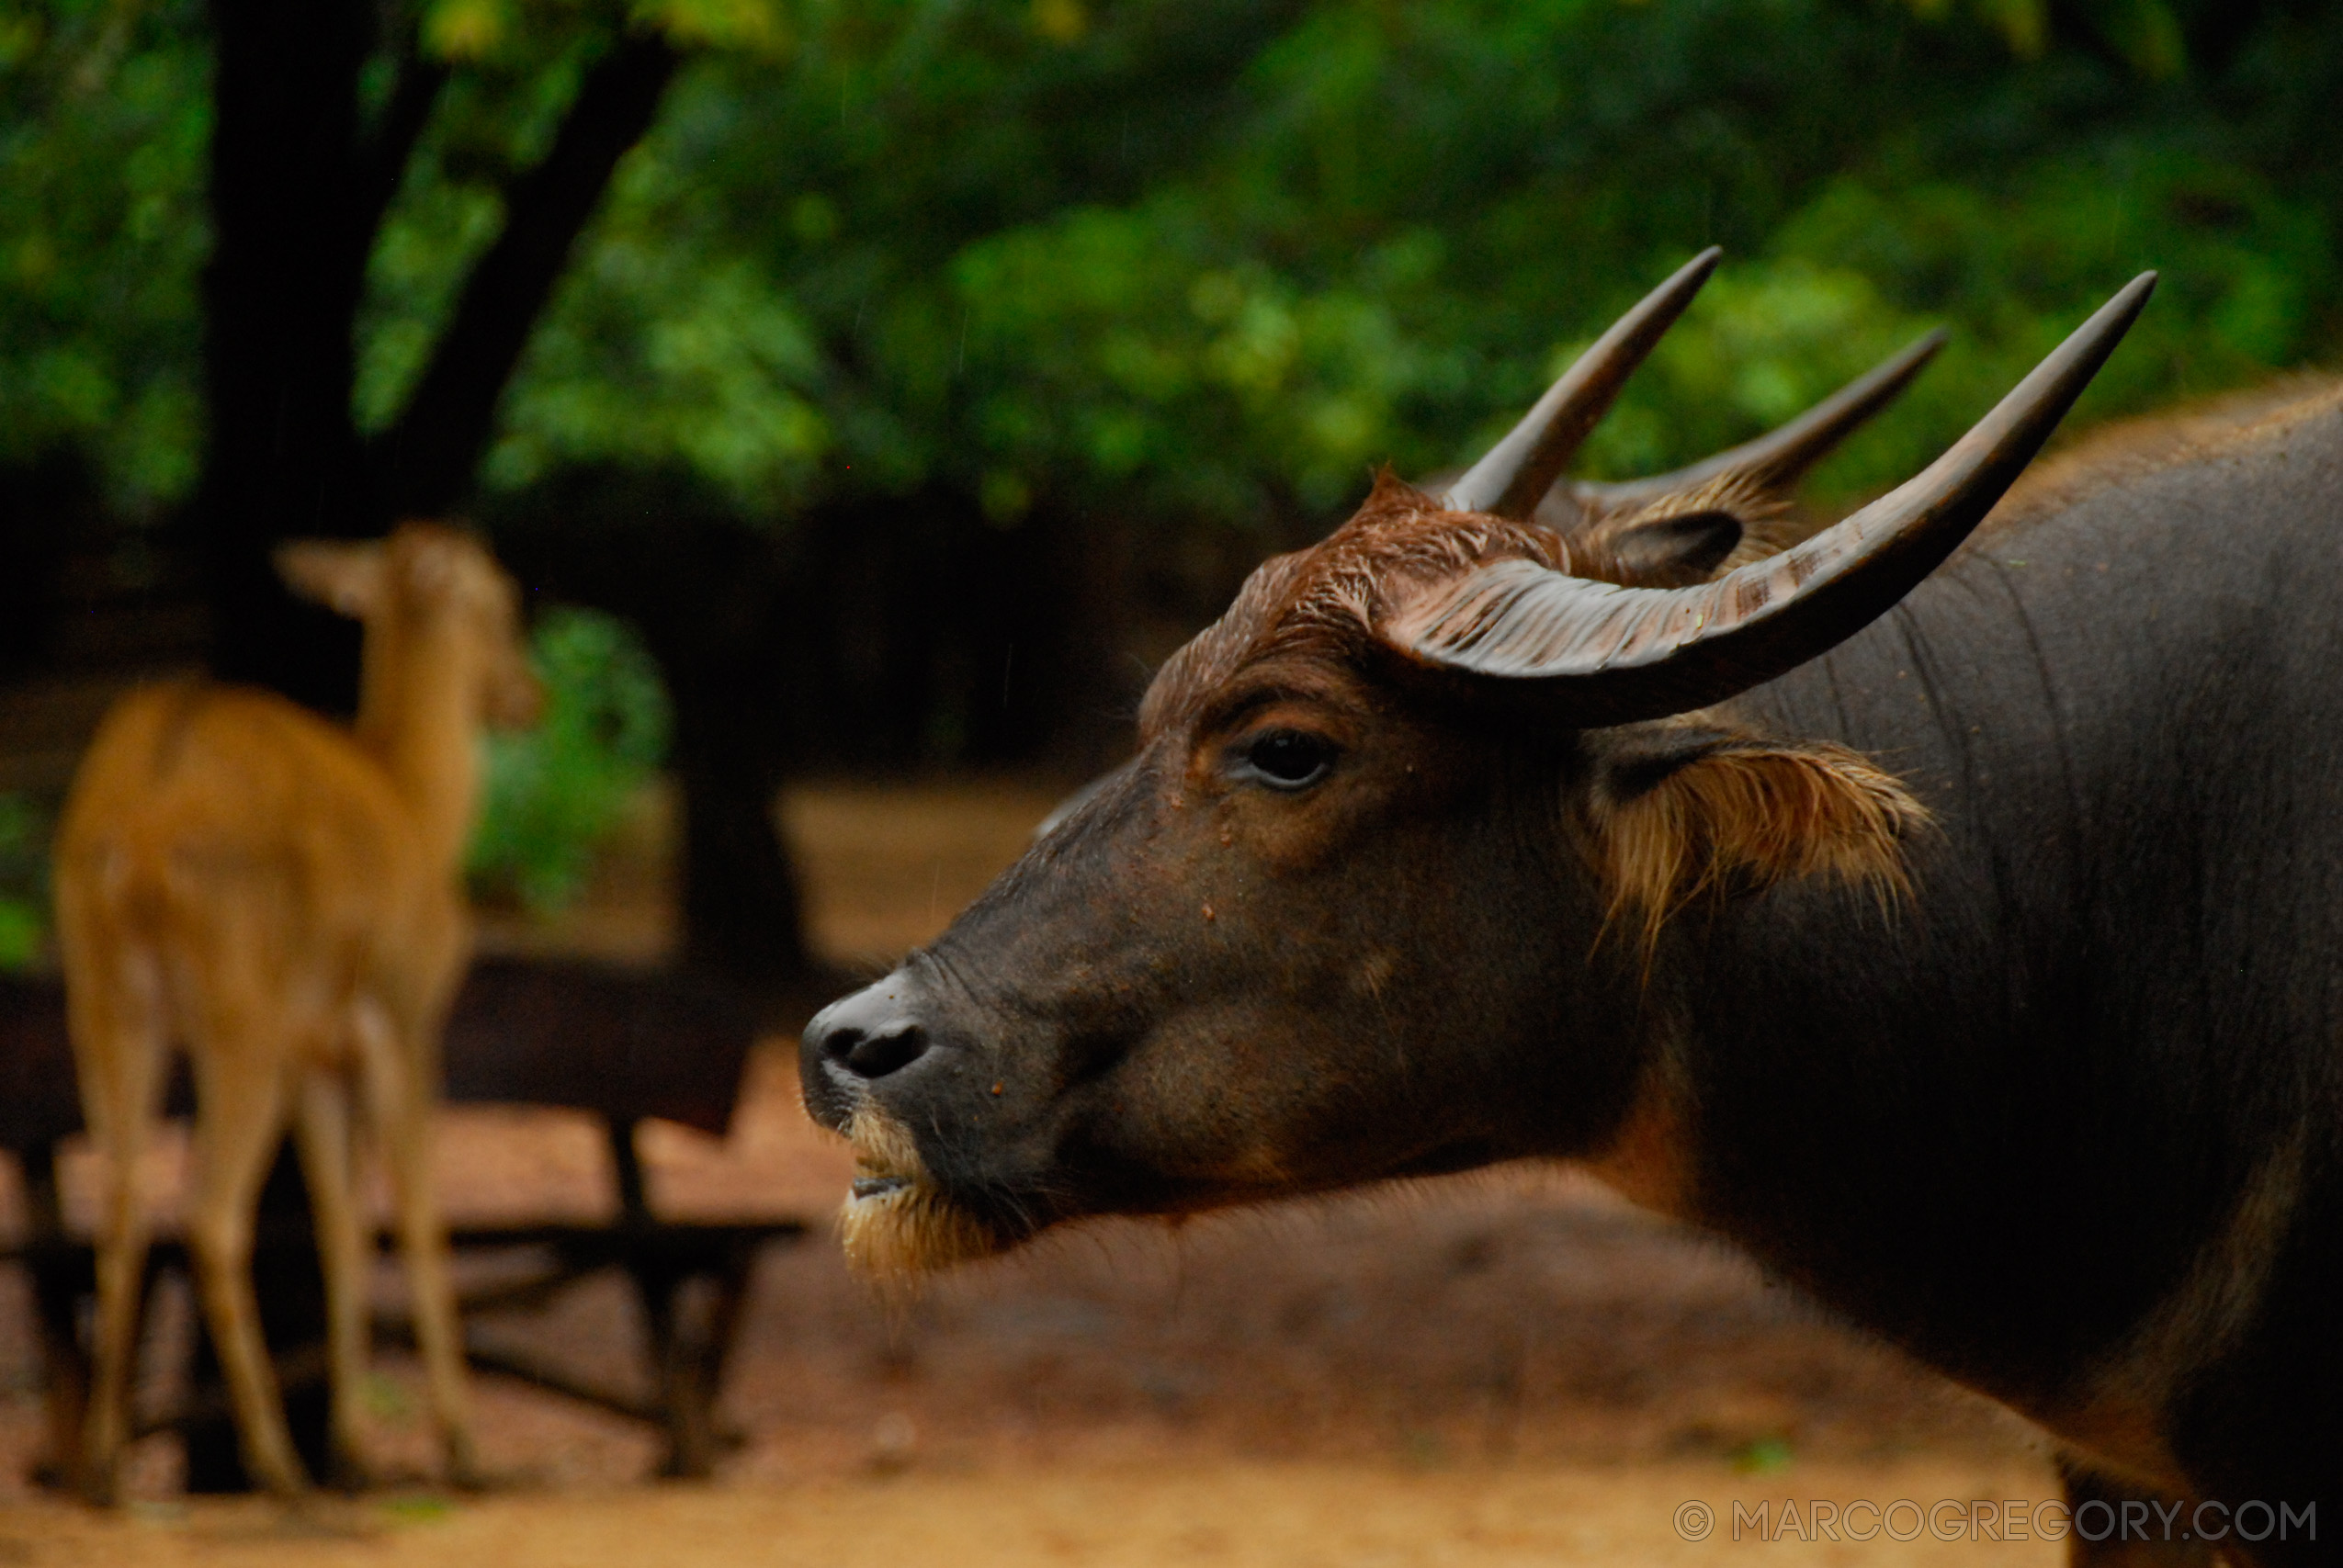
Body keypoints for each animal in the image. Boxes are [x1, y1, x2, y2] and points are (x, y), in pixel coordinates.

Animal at [62, 523, 546, 1490]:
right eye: (501, 599)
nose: (528, 695)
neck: (419, 804)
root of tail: (136, 836)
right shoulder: (404, 1012)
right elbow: (417, 1215)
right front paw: (462, 1447)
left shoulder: (318, 1051)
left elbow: (338, 1225)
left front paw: (355, 1446)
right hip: (236, 1006)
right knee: (208, 1212)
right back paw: (278, 1468)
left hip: (101, 998)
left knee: (122, 1197)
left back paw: (103, 1468)